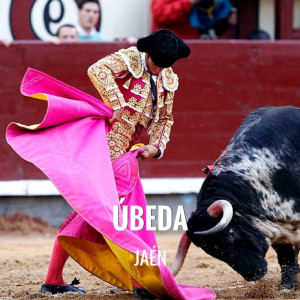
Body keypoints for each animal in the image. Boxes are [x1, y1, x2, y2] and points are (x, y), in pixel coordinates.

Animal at [171, 106, 300, 290]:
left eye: (231, 234)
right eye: (211, 251)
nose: (254, 274)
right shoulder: (278, 226)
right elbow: (286, 256)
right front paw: (286, 287)